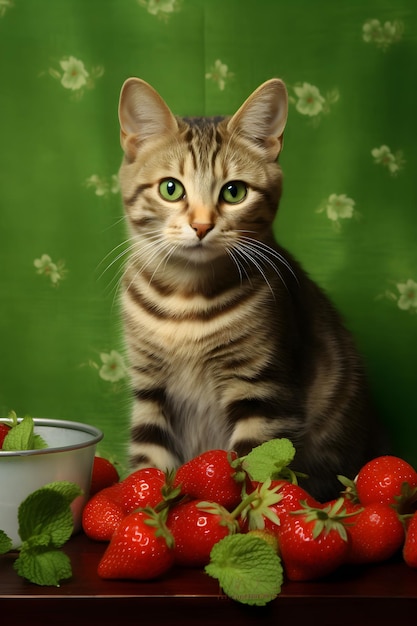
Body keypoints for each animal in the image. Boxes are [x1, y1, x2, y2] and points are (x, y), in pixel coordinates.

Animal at [115, 78, 386, 500]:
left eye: (234, 192)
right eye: (171, 189)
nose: (202, 225)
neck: (186, 299)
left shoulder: (261, 389)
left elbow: (252, 468)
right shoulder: (149, 388)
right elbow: (148, 462)